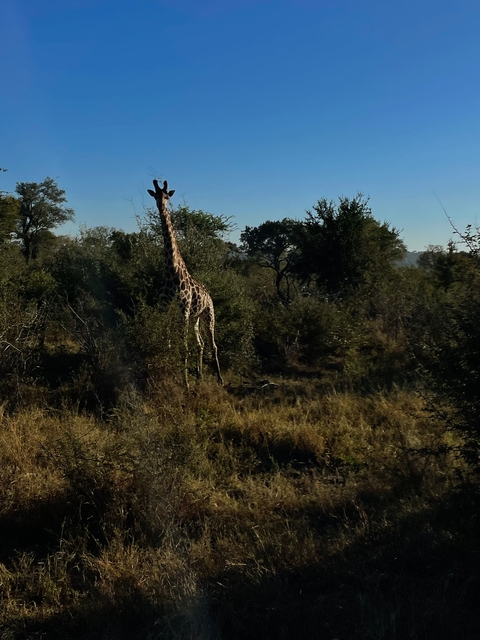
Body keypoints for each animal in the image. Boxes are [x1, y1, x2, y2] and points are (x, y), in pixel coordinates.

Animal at [147, 179, 223, 388]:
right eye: (155, 196)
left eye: (167, 196)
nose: (161, 205)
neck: (172, 273)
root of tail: (210, 295)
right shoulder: (166, 310)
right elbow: (168, 343)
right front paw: (173, 373)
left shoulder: (184, 311)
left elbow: (183, 346)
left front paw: (185, 383)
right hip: (195, 318)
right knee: (201, 344)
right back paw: (200, 375)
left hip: (208, 316)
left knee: (213, 345)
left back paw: (220, 378)